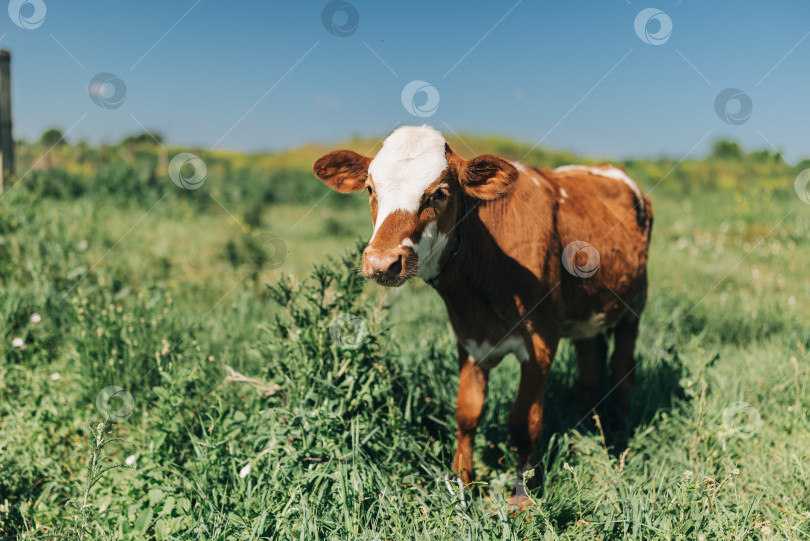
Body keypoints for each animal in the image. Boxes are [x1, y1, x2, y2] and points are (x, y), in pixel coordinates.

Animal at [310, 124, 652, 504]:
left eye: (440, 193)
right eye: (371, 189)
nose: (382, 262)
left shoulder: (541, 340)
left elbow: (524, 422)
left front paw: (522, 497)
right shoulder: (469, 338)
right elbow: (467, 413)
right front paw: (461, 486)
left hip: (634, 303)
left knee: (622, 366)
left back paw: (619, 431)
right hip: (587, 315)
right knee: (590, 365)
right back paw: (585, 428)